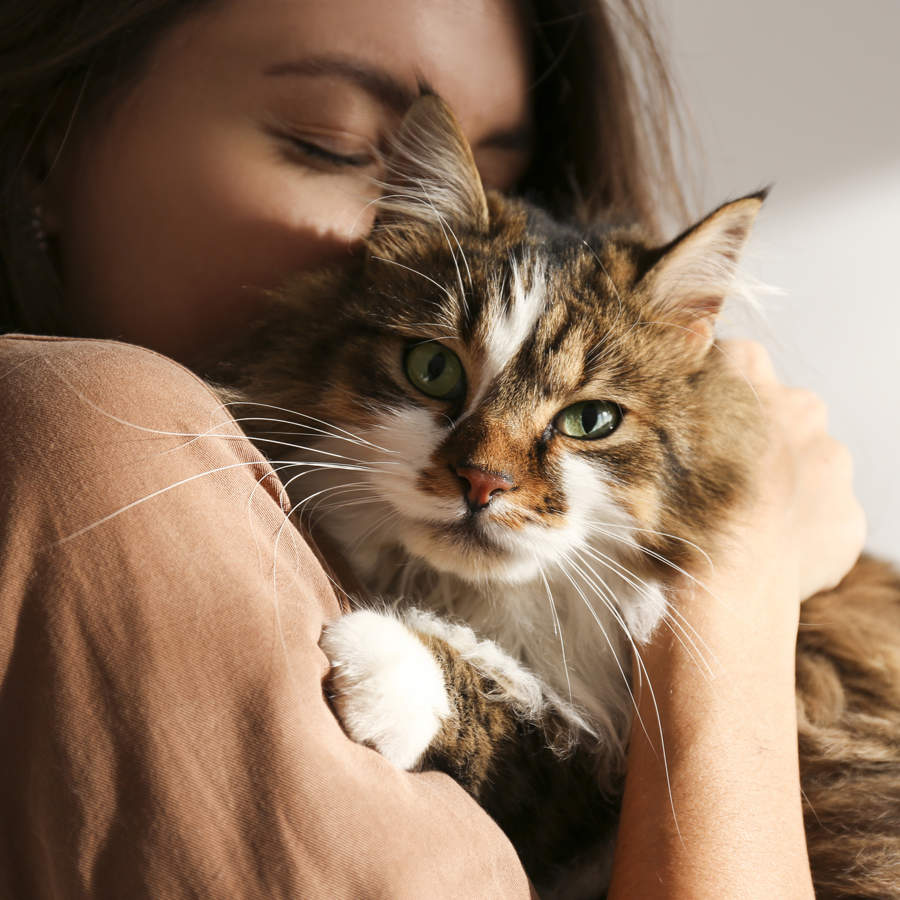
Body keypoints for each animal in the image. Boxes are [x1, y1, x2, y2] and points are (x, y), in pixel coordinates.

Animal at [216, 95, 900, 896]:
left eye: (590, 421)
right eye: (432, 369)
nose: (482, 481)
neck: (487, 605)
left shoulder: (591, 778)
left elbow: (526, 721)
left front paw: (389, 664)